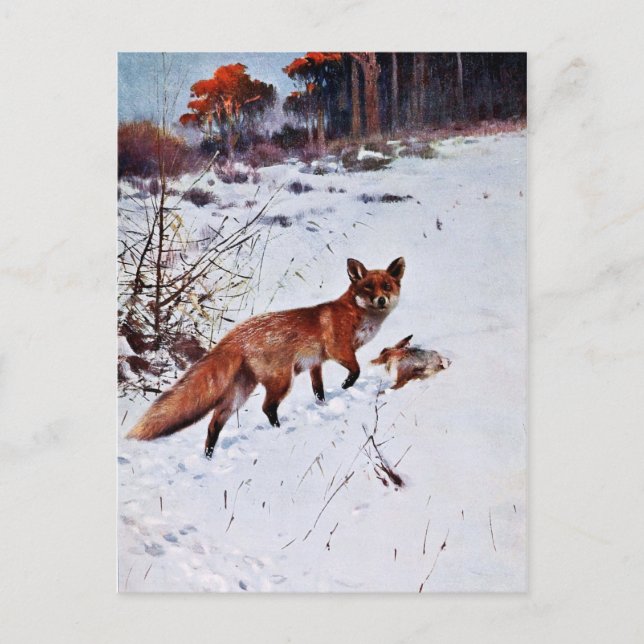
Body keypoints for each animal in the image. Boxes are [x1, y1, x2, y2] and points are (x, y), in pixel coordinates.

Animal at [127, 257, 405, 458]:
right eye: (368, 287)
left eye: (386, 286)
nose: (381, 299)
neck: (357, 316)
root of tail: (235, 334)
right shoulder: (339, 350)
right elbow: (355, 370)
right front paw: (346, 386)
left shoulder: (316, 363)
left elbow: (318, 390)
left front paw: (323, 405)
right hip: (281, 381)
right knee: (266, 407)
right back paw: (279, 431)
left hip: (240, 391)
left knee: (214, 423)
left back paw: (208, 456)